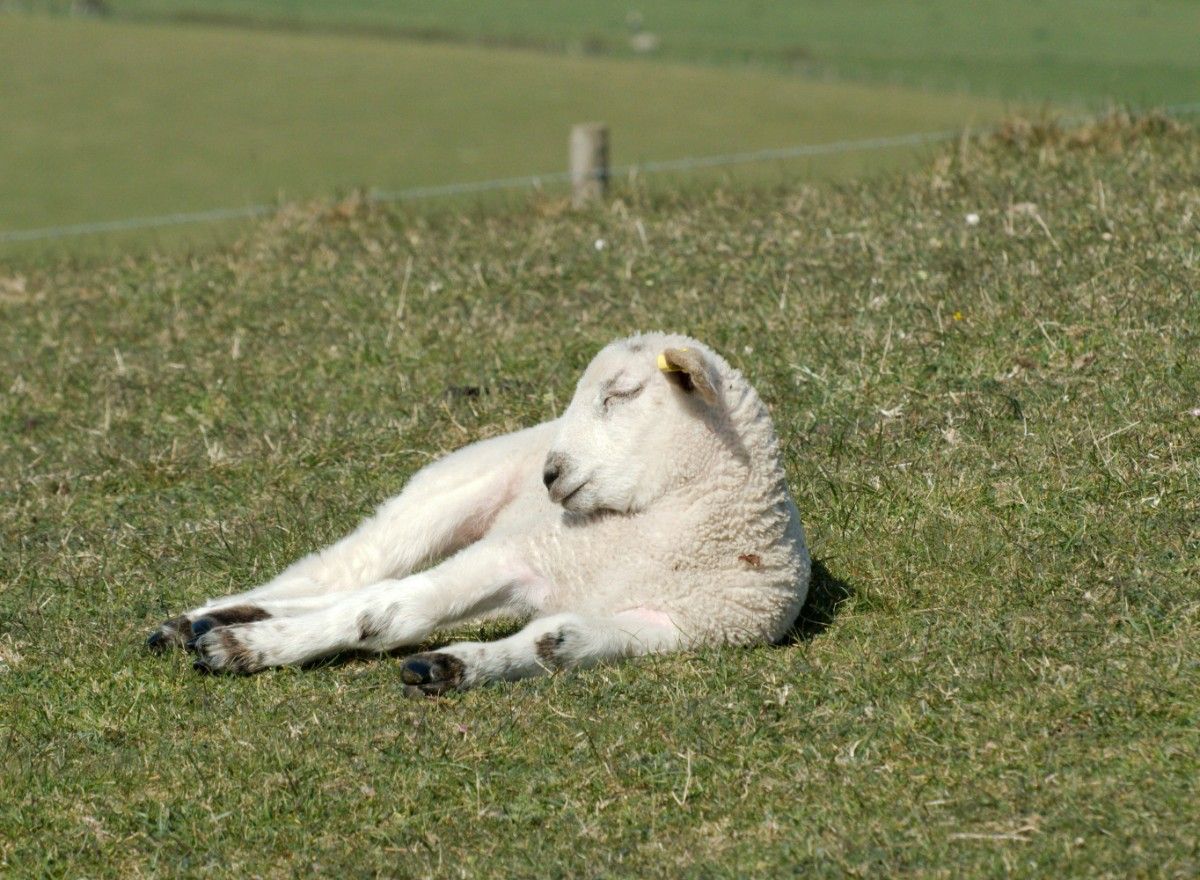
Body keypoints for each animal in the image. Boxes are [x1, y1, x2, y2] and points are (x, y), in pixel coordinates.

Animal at [145, 331, 811, 691]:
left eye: (619, 394)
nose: (550, 474)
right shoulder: (519, 555)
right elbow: (388, 613)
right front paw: (247, 649)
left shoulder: (672, 627)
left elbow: (551, 645)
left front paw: (450, 669)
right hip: (441, 498)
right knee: (348, 572)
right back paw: (197, 623)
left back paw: (214, 623)